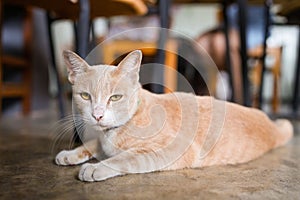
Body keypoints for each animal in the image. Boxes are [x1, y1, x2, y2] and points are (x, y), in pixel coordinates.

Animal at [55, 49, 292, 181]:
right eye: (85, 96)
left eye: (115, 97)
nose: (97, 115)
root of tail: (270, 124)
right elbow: (92, 145)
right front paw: (70, 154)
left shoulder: (170, 150)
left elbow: (124, 158)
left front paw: (96, 168)